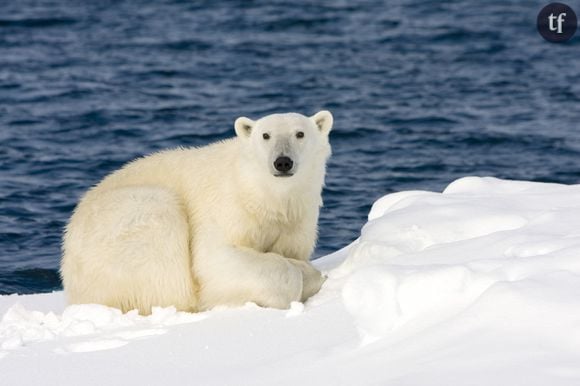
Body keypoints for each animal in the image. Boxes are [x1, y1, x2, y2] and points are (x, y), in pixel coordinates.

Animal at [61, 109, 334, 314]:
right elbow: (213, 259)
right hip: (128, 225)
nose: (282, 162)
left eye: (300, 133)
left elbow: (293, 251)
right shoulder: (226, 209)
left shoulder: (298, 218)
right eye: (265, 135)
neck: (263, 196)